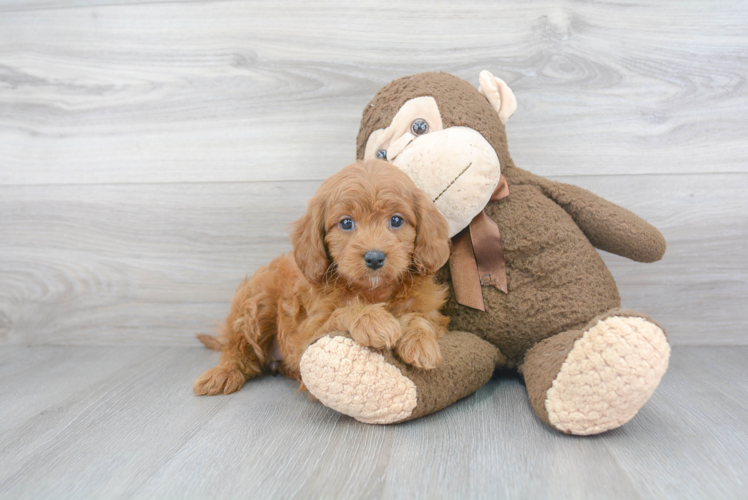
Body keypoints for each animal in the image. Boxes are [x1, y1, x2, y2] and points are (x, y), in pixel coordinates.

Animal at [194, 159, 450, 394]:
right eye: (346, 223)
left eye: (396, 220)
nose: (375, 257)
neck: (374, 291)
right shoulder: (307, 337)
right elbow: (343, 311)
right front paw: (373, 319)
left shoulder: (428, 308)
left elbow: (419, 317)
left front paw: (420, 343)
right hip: (256, 300)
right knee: (239, 347)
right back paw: (223, 373)